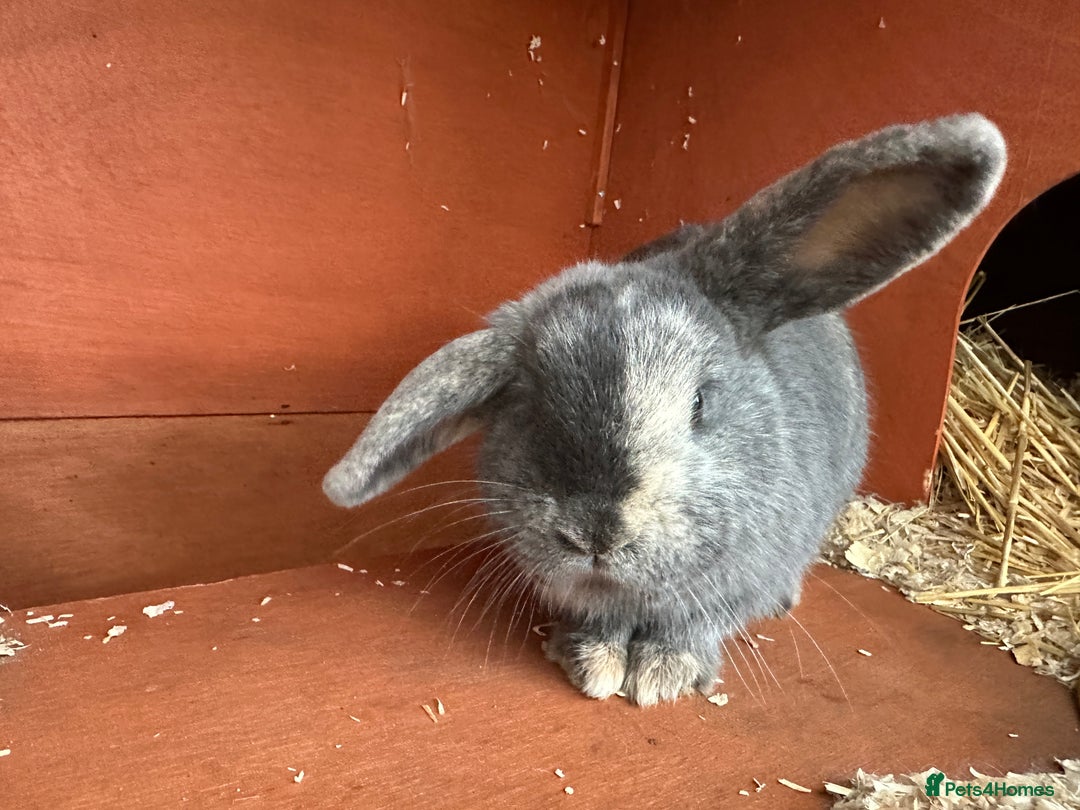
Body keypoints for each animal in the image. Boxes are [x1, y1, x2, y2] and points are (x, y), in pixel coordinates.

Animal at [323, 113, 1006, 706]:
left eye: (700, 402)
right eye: (530, 410)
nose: (595, 533)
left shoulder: (736, 583)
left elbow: (693, 625)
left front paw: (660, 675)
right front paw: (592, 664)